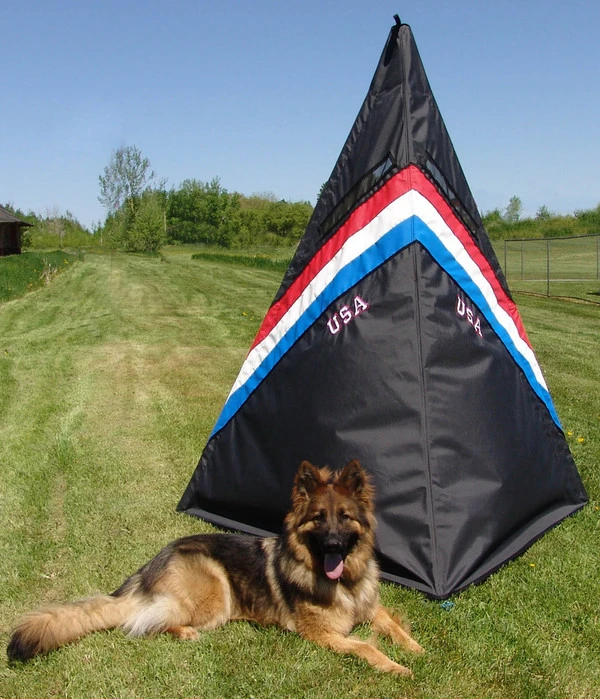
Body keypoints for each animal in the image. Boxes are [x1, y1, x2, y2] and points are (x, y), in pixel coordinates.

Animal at [7, 459, 424, 675]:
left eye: (345, 518)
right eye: (319, 519)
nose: (335, 546)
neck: (347, 584)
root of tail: (150, 564)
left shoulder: (370, 608)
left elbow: (392, 625)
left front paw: (415, 649)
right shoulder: (323, 635)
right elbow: (365, 647)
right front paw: (396, 668)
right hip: (214, 595)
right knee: (146, 620)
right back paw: (184, 632)